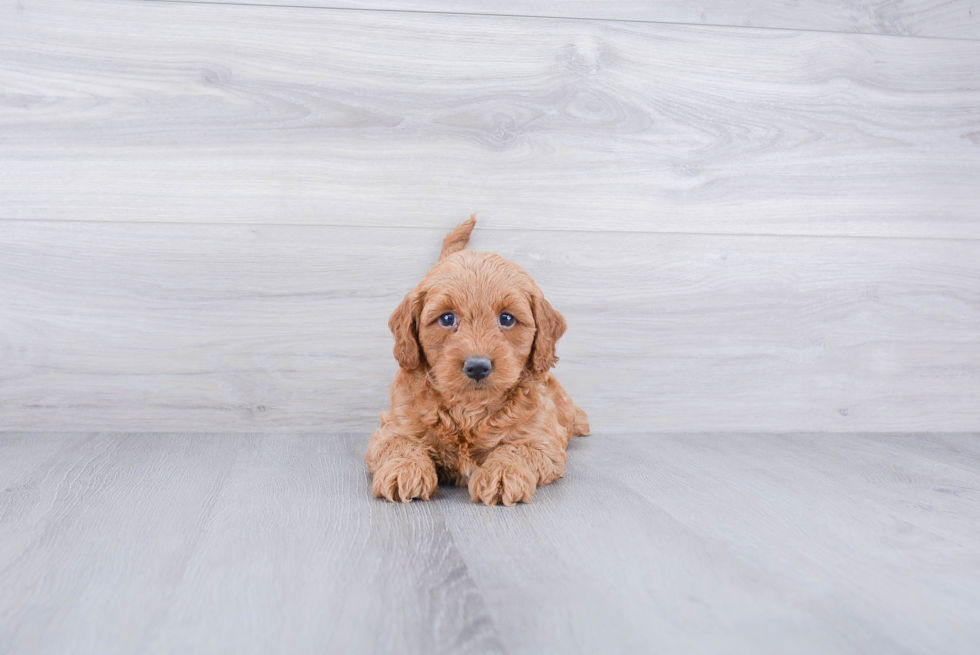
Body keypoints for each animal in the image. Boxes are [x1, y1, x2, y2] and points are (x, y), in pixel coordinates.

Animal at [362, 215, 584, 508]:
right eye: (447, 318)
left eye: (507, 318)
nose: (478, 366)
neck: (469, 410)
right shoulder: (393, 428)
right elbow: (402, 444)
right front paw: (405, 470)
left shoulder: (542, 439)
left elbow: (515, 448)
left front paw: (501, 475)